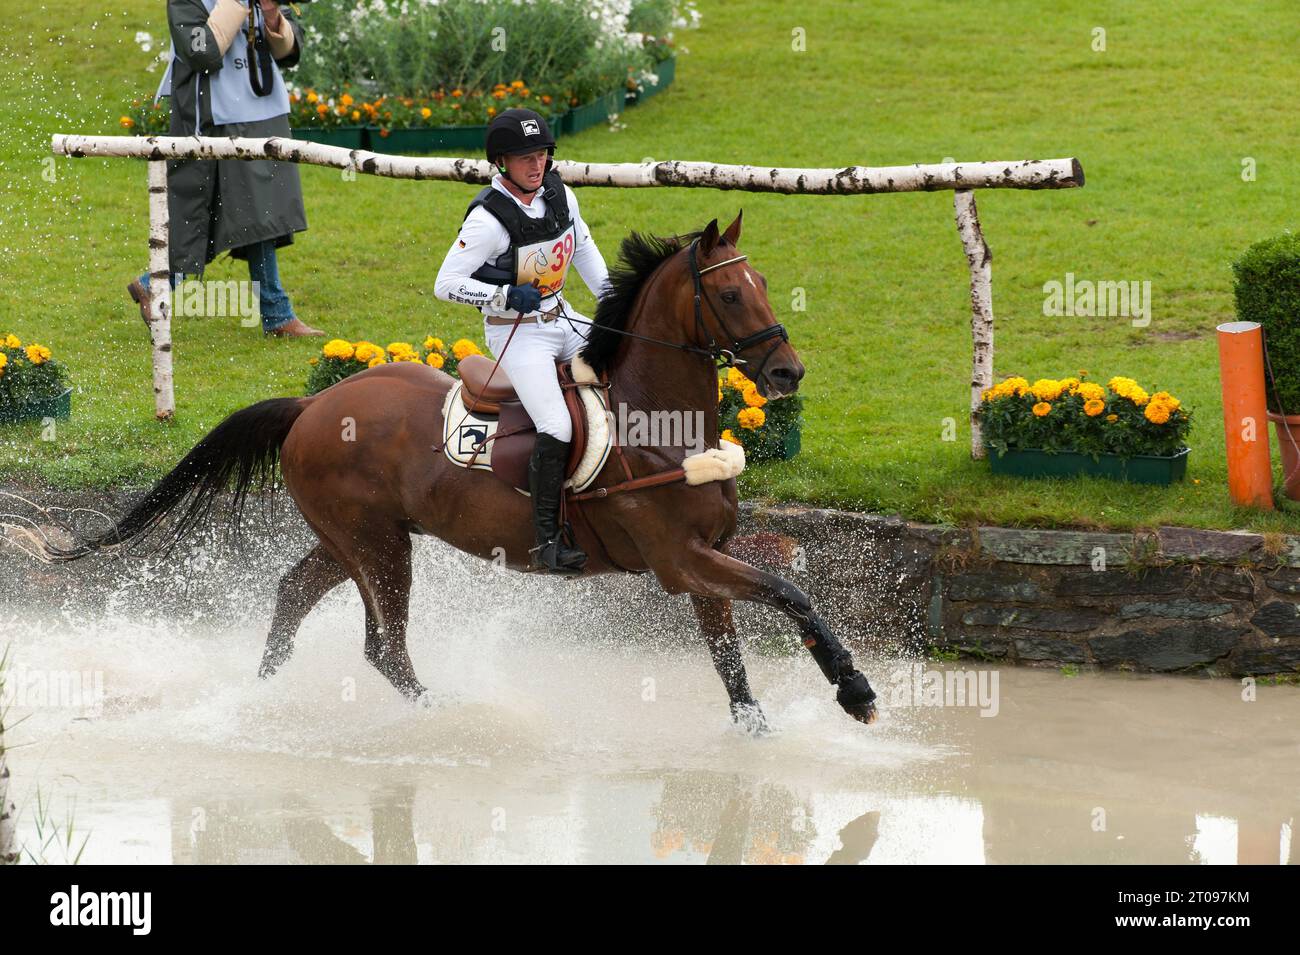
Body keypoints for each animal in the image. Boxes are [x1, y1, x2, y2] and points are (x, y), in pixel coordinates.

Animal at [45, 210, 878, 732]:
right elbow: (792, 593)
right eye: (732, 292)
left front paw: (759, 727)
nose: (787, 371)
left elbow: (732, 656)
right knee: (383, 646)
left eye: (763, 284)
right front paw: (855, 690)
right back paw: (452, 717)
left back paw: (256, 696)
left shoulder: (708, 556)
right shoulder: (679, 561)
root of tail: (313, 404)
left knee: (293, 595)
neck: (659, 423)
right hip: (379, 546)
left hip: (355, 540)